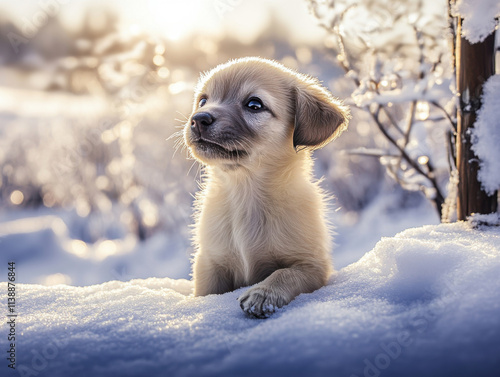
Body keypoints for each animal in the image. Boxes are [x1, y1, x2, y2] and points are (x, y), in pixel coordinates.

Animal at [182, 56, 350, 318]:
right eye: (203, 100)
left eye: (254, 104)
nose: (199, 119)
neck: (245, 191)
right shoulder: (210, 263)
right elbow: (205, 292)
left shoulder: (312, 265)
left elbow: (284, 273)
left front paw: (262, 294)